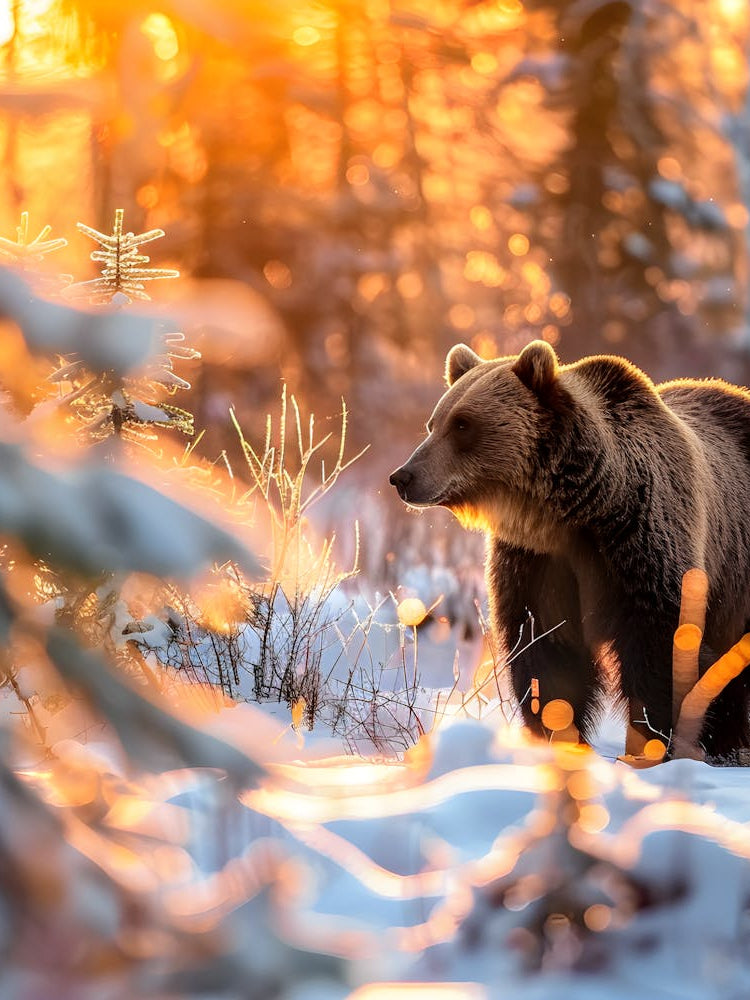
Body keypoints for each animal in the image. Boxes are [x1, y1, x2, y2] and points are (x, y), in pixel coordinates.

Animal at [390, 339, 750, 759]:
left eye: (463, 424)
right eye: (434, 423)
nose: (403, 477)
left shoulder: (641, 543)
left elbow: (662, 644)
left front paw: (651, 741)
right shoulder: (539, 561)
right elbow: (545, 650)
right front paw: (557, 734)